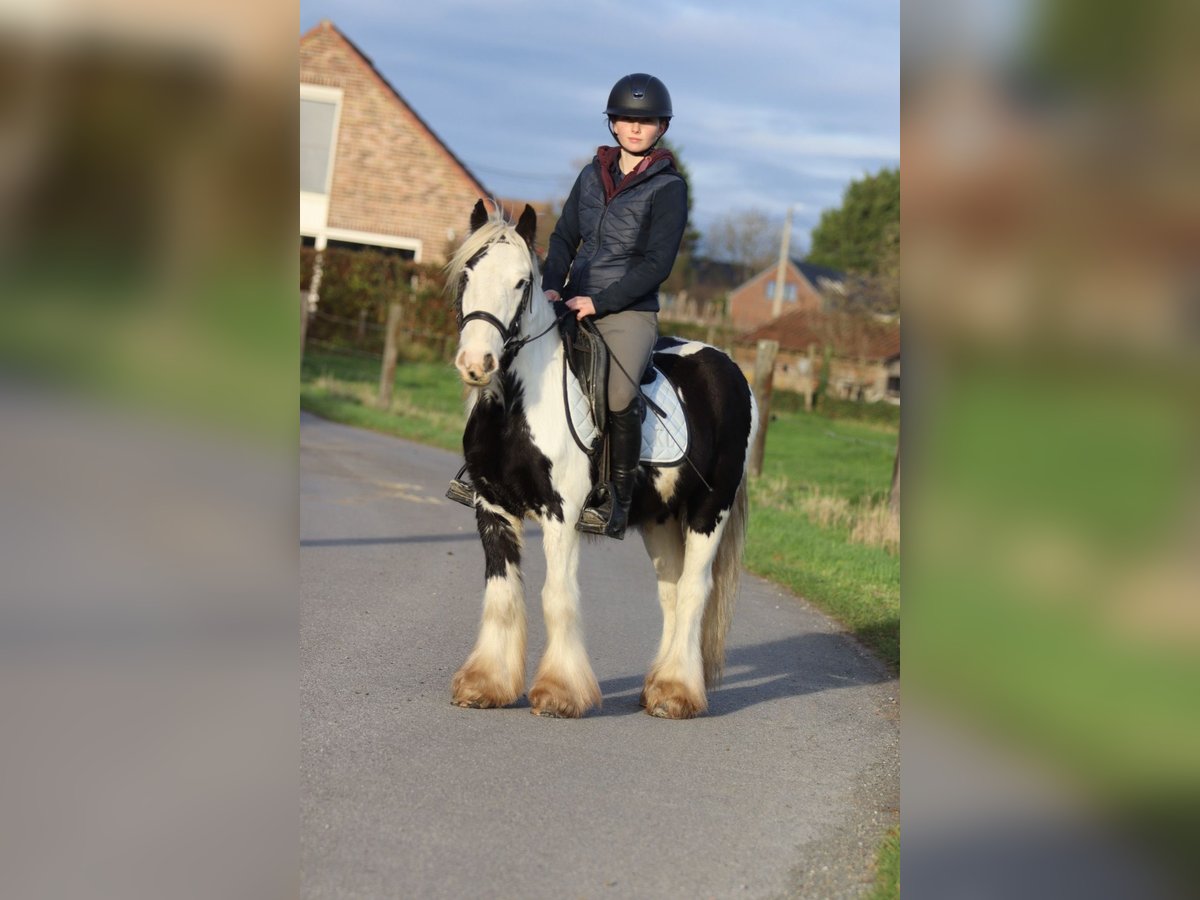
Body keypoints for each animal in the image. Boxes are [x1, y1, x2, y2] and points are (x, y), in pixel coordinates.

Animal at [447, 200, 758, 719]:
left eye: (521, 282)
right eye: (467, 274)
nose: (477, 363)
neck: (517, 404)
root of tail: (730, 369)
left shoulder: (562, 514)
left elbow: (556, 597)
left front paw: (559, 693)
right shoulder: (492, 507)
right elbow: (502, 595)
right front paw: (484, 685)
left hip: (708, 510)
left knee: (694, 591)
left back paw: (677, 692)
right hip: (659, 520)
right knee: (672, 592)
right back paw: (657, 689)